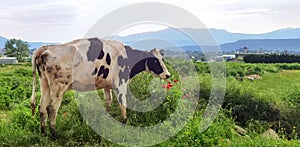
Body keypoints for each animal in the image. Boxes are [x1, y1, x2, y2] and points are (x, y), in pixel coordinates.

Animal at [31, 37, 171, 138]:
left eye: (162, 59)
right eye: (154, 61)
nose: (168, 75)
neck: (127, 56)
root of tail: (46, 48)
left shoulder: (107, 85)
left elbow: (108, 101)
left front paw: (107, 118)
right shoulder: (120, 83)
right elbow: (122, 104)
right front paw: (125, 122)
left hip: (45, 84)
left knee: (42, 108)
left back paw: (44, 133)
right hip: (59, 87)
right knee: (51, 108)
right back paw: (55, 135)